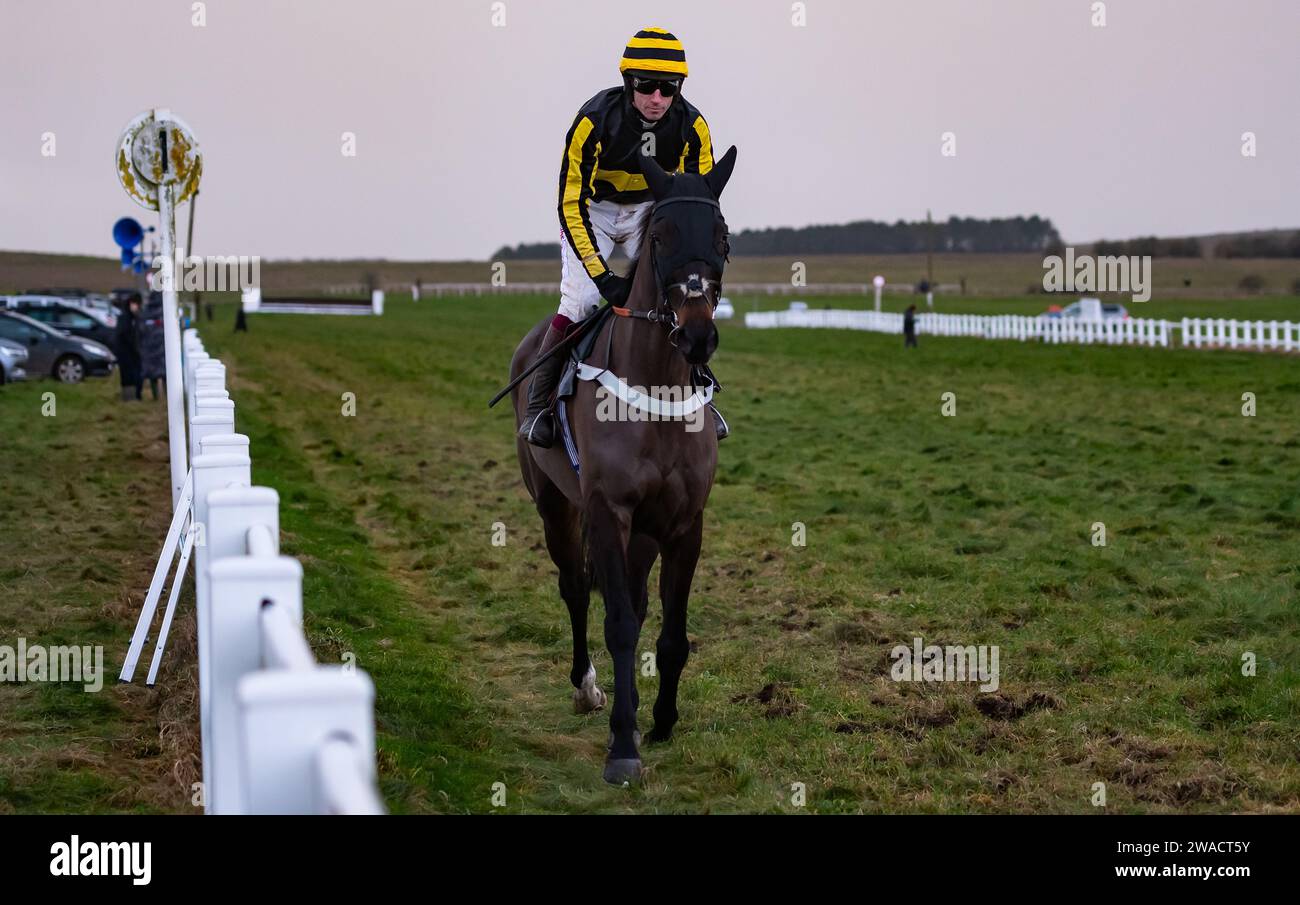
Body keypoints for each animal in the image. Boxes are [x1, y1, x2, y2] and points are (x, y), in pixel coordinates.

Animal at [506, 146, 738, 785]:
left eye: (722, 237)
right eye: (659, 235)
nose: (697, 335)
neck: (655, 390)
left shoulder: (684, 523)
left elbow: (671, 632)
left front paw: (660, 722)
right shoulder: (607, 511)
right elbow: (617, 624)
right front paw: (622, 746)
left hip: (643, 531)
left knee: (629, 599)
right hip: (554, 504)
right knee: (575, 587)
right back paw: (586, 688)